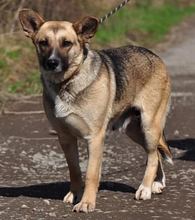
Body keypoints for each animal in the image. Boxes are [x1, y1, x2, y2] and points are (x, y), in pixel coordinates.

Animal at [19, 9, 172, 213]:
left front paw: (86, 202)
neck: (67, 82)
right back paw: (157, 183)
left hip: (149, 125)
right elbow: (75, 170)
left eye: (66, 43)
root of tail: (154, 56)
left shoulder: (95, 138)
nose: (52, 62)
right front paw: (75, 194)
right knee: (155, 153)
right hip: (135, 131)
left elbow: (91, 173)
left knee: (153, 155)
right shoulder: (65, 138)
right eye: (43, 42)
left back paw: (145, 188)